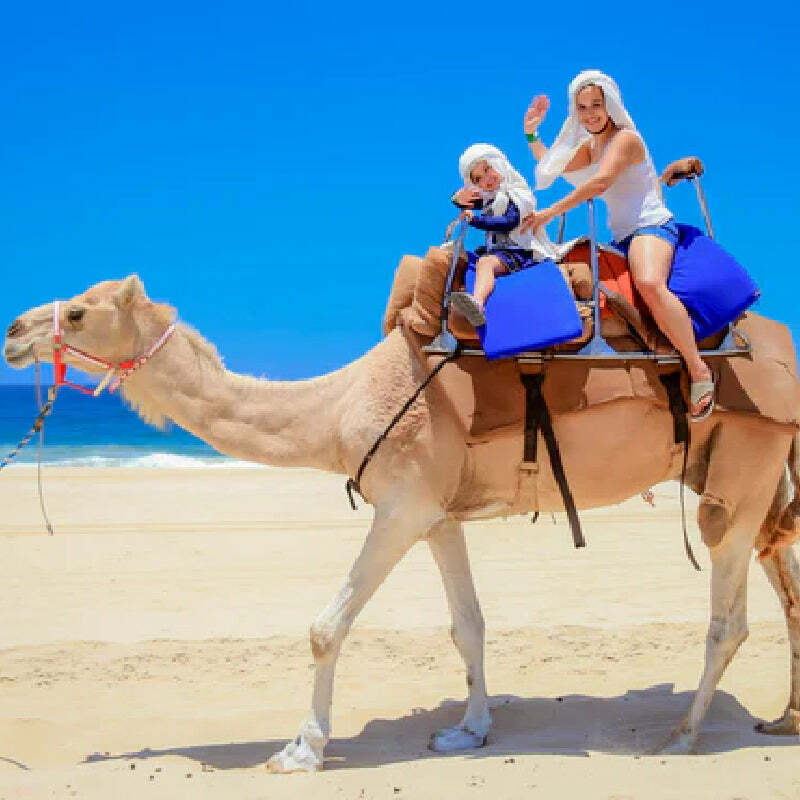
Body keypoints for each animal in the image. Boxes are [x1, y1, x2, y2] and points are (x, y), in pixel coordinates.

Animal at [4, 273, 800, 773]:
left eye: (79, 313)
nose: (13, 332)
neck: (337, 408)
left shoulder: (402, 503)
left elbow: (326, 627)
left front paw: (301, 750)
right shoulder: (438, 514)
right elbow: (467, 624)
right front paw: (469, 731)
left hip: (743, 467)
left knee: (729, 616)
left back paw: (682, 737)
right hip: (754, 475)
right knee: (783, 580)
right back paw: (783, 719)